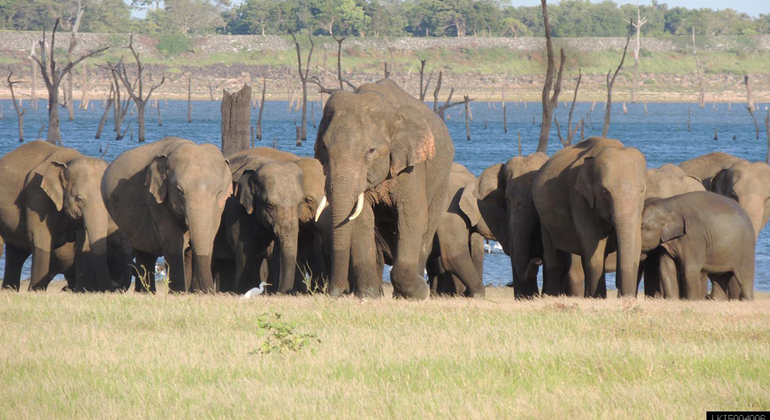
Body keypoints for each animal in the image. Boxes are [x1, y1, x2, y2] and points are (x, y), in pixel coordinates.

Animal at [0, 141, 123, 292]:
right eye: (79, 199)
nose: (108, 289)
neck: (68, 162)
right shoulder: (37, 197)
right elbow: (42, 240)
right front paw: (35, 291)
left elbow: (84, 244)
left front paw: (80, 292)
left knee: (16, 253)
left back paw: (9, 290)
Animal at [100, 137, 231, 292]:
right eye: (179, 190)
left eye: (219, 192)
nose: (209, 292)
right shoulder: (155, 198)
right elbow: (172, 239)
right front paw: (177, 292)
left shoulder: (219, 206)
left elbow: (209, 235)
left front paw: (192, 293)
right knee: (145, 254)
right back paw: (148, 292)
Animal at [314, 76, 452, 298]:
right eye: (325, 148)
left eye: (371, 150)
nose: (332, 293)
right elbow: (361, 219)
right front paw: (368, 295)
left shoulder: (411, 168)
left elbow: (412, 215)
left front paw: (420, 292)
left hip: (441, 183)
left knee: (425, 235)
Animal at [532, 138, 644, 298]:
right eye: (605, 192)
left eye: (641, 190)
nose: (623, 295)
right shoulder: (579, 199)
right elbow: (593, 248)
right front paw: (598, 298)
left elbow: (635, 243)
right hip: (545, 220)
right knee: (555, 257)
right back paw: (552, 295)